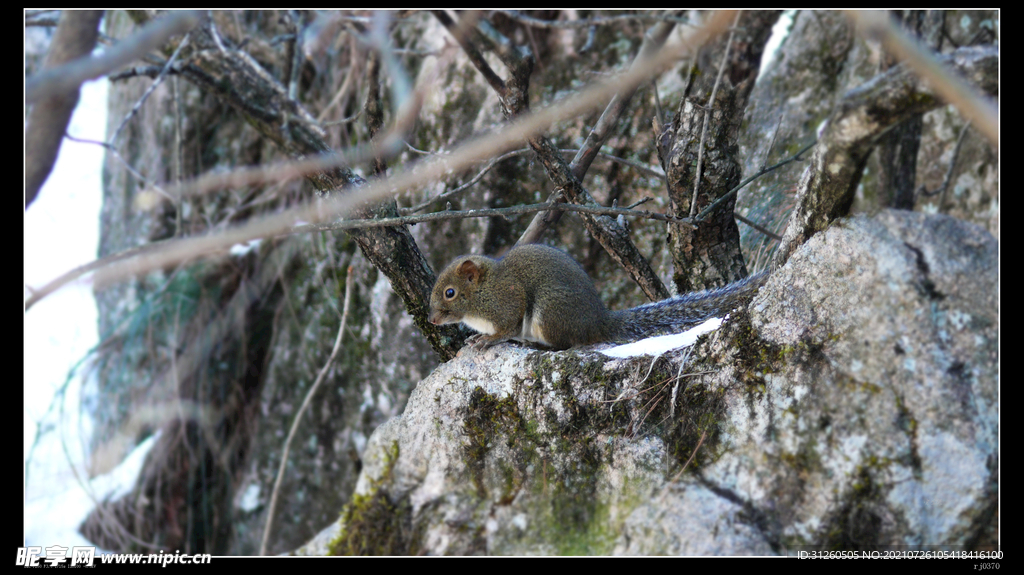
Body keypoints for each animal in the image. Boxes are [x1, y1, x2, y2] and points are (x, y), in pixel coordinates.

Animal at [425, 242, 770, 349]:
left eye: (450, 293)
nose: (431, 319)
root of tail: (599, 322)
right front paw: (474, 338)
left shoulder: (508, 301)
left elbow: (506, 326)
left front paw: (488, 340)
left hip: (550, 312)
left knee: (566, 345)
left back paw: (534, 343)